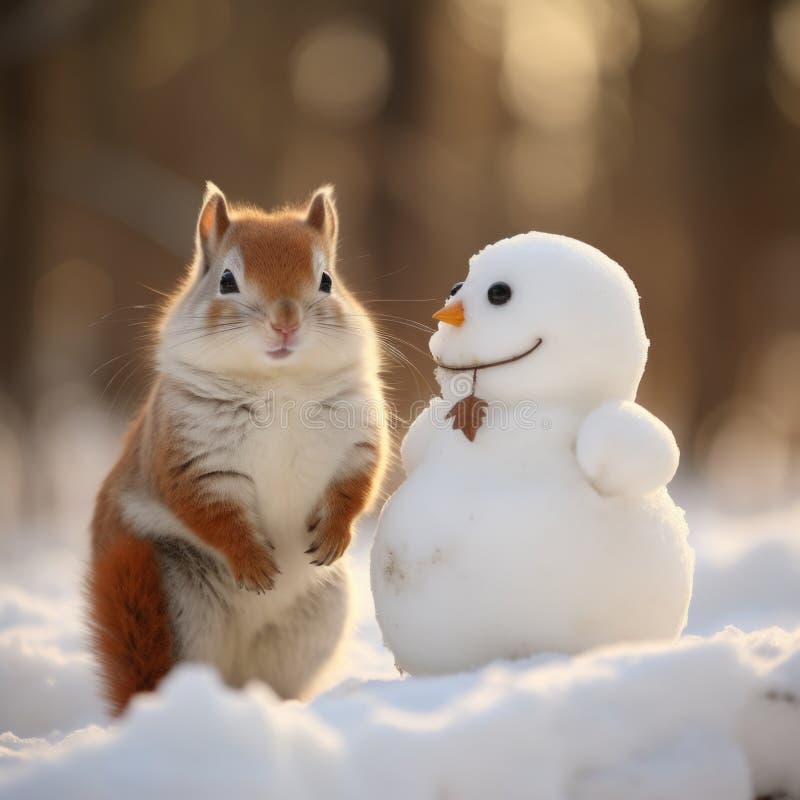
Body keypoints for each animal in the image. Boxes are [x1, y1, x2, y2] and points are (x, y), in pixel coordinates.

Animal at [87, 183, 388, 712]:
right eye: (226, 280)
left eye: (327, 280)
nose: (285, 321)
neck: (278, 386)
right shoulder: (190, 458)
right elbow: (212, 513)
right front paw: (252, 562)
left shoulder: (357, 438)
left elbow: (357, 485)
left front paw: (335, 533)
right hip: (181, 606)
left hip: (313, 621)